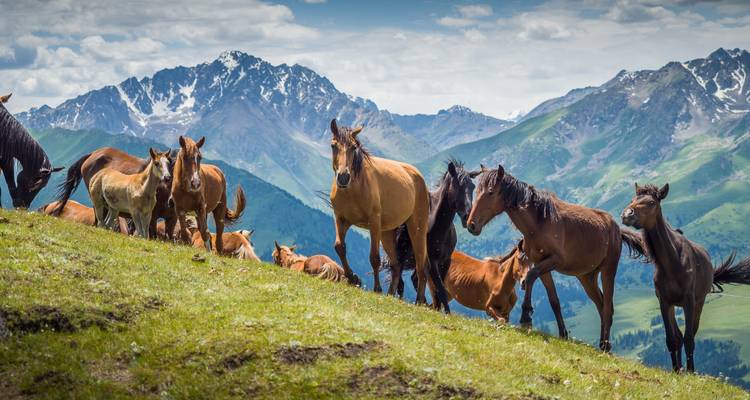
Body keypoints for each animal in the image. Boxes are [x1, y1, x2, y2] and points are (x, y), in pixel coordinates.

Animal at [328, 119, 450, 312]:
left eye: (354, 147)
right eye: (334, 146)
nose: (343, 177)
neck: (353, 188)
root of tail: (417, 176)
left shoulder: (373, 223)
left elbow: (374, 258)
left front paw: (376, 288)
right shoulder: (341, 219)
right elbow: (340, 247)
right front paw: (352, 278)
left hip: (416, 228)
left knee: (422, 264)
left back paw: (418, 300)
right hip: (387, 232)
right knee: (396, 264)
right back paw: (391, 294)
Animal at [466, 164, 647, 351]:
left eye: (491, 192)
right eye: (477, 191)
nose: (471, 225)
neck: (540, 222)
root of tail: (617, 229)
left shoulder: (554, 261)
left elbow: (529, 277)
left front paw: (526, 316)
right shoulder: (541, 264)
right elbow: (553, 300)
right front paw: (563, 334)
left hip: (608, 271)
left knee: (608, 307)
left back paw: (605, 345)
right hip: (587, 277)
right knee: (601, 303)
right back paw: (603, 344)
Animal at [622, 183, 750, 372]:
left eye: (652, 202)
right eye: (632, 199)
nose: (627, 215)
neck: (672, 262)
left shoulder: (689, 301)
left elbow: (689, 338)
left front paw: (691, 371)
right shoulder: (664, 302)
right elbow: (671, 339)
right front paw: (676, 370)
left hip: (699, 303)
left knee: (690, 334)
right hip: (674, 305)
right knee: (678, 336)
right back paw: (680, 368)